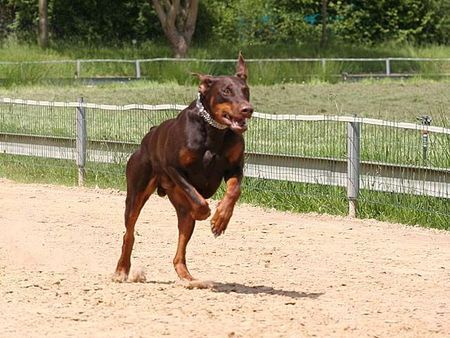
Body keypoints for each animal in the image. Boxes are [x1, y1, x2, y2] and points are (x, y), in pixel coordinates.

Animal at [112, 52, 253, 282]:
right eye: (225, 90)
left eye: (245, 89)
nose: (247, 109)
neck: (214, 132)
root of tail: (148, 136)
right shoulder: (174, 168)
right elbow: (198, 198)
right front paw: (206, 214)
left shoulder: (234, 167)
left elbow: (234, 191)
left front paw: (220, 220)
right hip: (136, 192)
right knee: (129, 232)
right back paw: (121, 270)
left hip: (179, 206)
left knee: (180, 245)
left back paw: (187, 276)